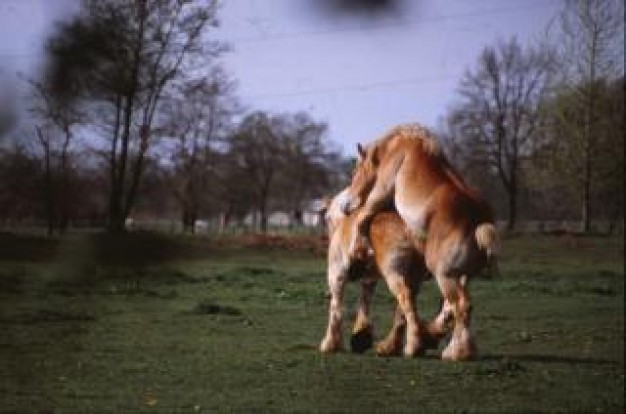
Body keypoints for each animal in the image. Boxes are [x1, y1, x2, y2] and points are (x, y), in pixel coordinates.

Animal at [316, 190, 448, 356]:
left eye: (327, 218)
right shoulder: (369, 277)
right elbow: (364, 300)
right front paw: (361, 335)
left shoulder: (336, 274)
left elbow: (336, 307)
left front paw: (330, 344)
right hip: (414, 277)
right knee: (404, 308)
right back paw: (394, 345)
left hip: (394, 273)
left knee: (405, 298)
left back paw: (413, 345)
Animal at [336, 124, 498, 360]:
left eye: (355, 171)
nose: (344, 205)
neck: (400, 147)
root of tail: (479, 221)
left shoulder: (381, 193)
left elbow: (364, 217)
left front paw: (358, 251)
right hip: (462, 276)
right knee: (451, 309)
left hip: (445, 276)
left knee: (460, 306)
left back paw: (455, 352)